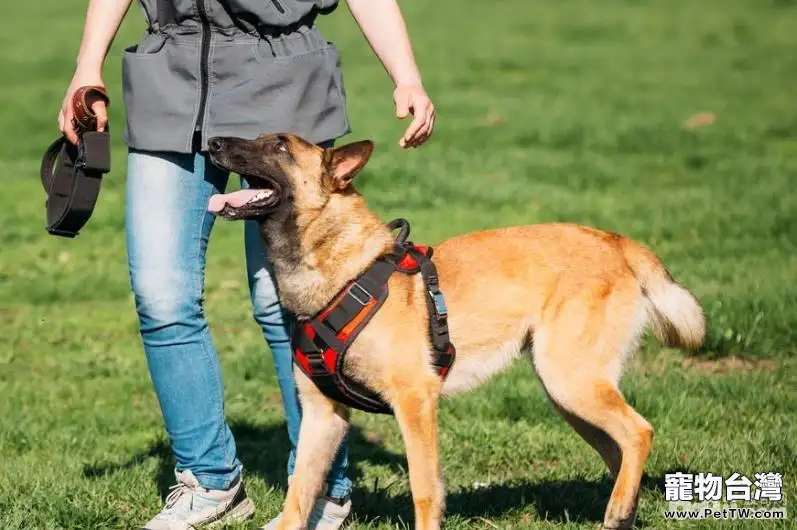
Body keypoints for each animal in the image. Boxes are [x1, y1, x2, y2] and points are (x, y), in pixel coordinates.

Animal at [205, 133, 704, 530]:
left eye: (279, 147)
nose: (212, 141)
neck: (344, 273)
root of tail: (617, 242)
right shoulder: (322, 415)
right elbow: (298, 493)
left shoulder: (415, 401)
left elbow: (425, 489)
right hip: (569, 394)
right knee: (620, 451)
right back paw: (620, 513)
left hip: (571, 382)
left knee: (639, 433)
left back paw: (618, 508)